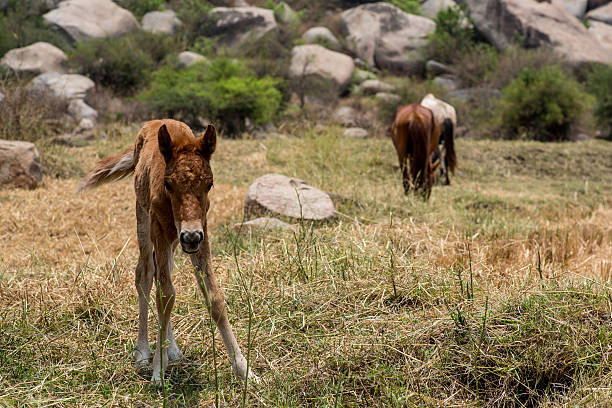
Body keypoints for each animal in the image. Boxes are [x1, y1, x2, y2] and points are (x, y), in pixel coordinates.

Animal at [77, 118, 258, 386]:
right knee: (145, 273)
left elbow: (213, 296)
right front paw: (157, 370)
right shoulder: (161, 231)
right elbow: (164, 295)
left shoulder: (202, 233)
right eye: (168, 184)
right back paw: (143, 352)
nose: (190, 236)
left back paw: (171, 348)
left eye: (209, 184)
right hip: (144, 220)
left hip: (174, 242)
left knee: (164, 275)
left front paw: (245, 370)